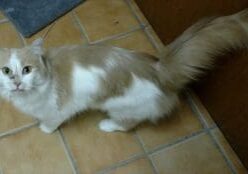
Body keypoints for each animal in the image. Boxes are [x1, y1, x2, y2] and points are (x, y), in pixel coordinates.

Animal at [0, 9, 248, 133]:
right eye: (6, 70)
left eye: (27, 69)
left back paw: (107, 125)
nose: (16, 82)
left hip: (122, 107)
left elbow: (51, 123)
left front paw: (44, 128)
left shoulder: (62, 108)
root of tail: (159, 69)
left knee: (128, 124)